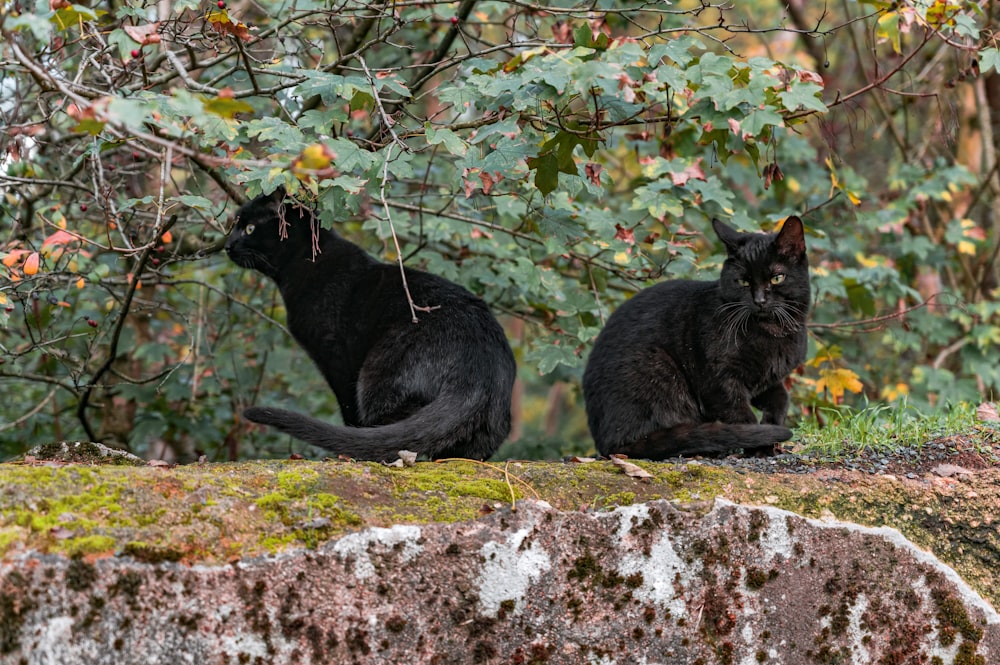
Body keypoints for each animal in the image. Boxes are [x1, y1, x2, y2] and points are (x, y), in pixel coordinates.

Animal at [227, 187, 516, 462]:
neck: (304, 261)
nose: (228, 245)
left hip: (379, 373)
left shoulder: (334, 354)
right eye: (235, 225)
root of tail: (478, 372)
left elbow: (347, 404)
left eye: (249, 228)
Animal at [584, 215, 808, 460]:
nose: (759, 300)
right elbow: (743, 416)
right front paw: (761, 446)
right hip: (657, 367)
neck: (773, 332)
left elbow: (782, 398)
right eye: (743, 282)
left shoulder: (766, 379)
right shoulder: (718, 383)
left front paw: (771, 428)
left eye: (777, 278)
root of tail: (606, 444)